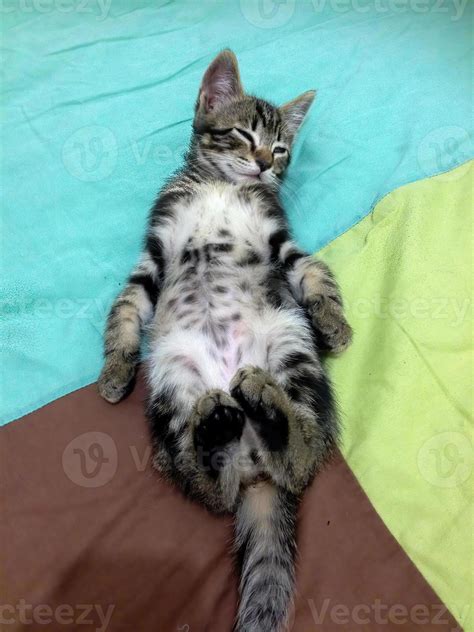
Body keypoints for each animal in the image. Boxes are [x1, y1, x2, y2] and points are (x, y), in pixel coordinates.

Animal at [98, 50, 350, 632]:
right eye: (243, 134)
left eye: (280, 149)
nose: (262, 164)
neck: (219, 184)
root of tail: (254, 467)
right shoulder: (156, 248)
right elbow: (126, 306)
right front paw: (115, 370)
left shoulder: (279, 238)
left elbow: (313, 272)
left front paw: (335, 322)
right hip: (172, 379)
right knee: (211, 486)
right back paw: (214, 428)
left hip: (290, 342)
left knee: (299, 460)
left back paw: (271, 411)